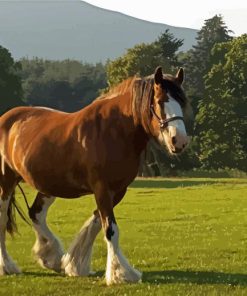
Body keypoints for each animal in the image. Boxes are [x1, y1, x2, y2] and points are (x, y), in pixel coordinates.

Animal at [0, 66, 189, 284]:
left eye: (182, 102)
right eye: (159, 101)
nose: (179, 141)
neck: (114, 130)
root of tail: (6, 118)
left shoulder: (117, 191)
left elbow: (97, 222)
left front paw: (75, 263)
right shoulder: (102, 189)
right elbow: (110, 229)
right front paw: (120, 274)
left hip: (48, 185)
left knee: (36, 213)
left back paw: (51, 256)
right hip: (6, 183)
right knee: (3, 218)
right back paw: (7, 265)